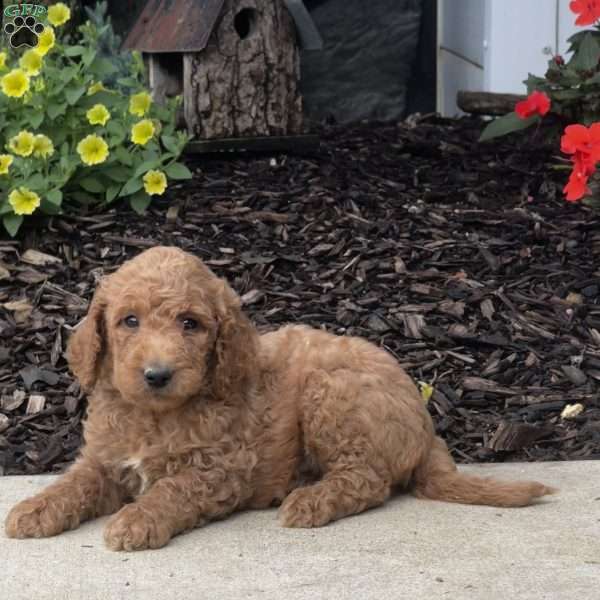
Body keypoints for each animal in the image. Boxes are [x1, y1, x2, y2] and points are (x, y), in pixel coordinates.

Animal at [4, 244, 556, 548]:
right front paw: (34, 509)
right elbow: (74, 482)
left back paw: (308, 501)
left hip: (330, 394)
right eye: (129, 321)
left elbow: (171, 489)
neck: (157, 415)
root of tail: (425, 425)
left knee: (368, 480)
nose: (157, 374)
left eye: (191, 324)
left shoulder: (220, 469)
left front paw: (136, 520)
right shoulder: (105, 459)